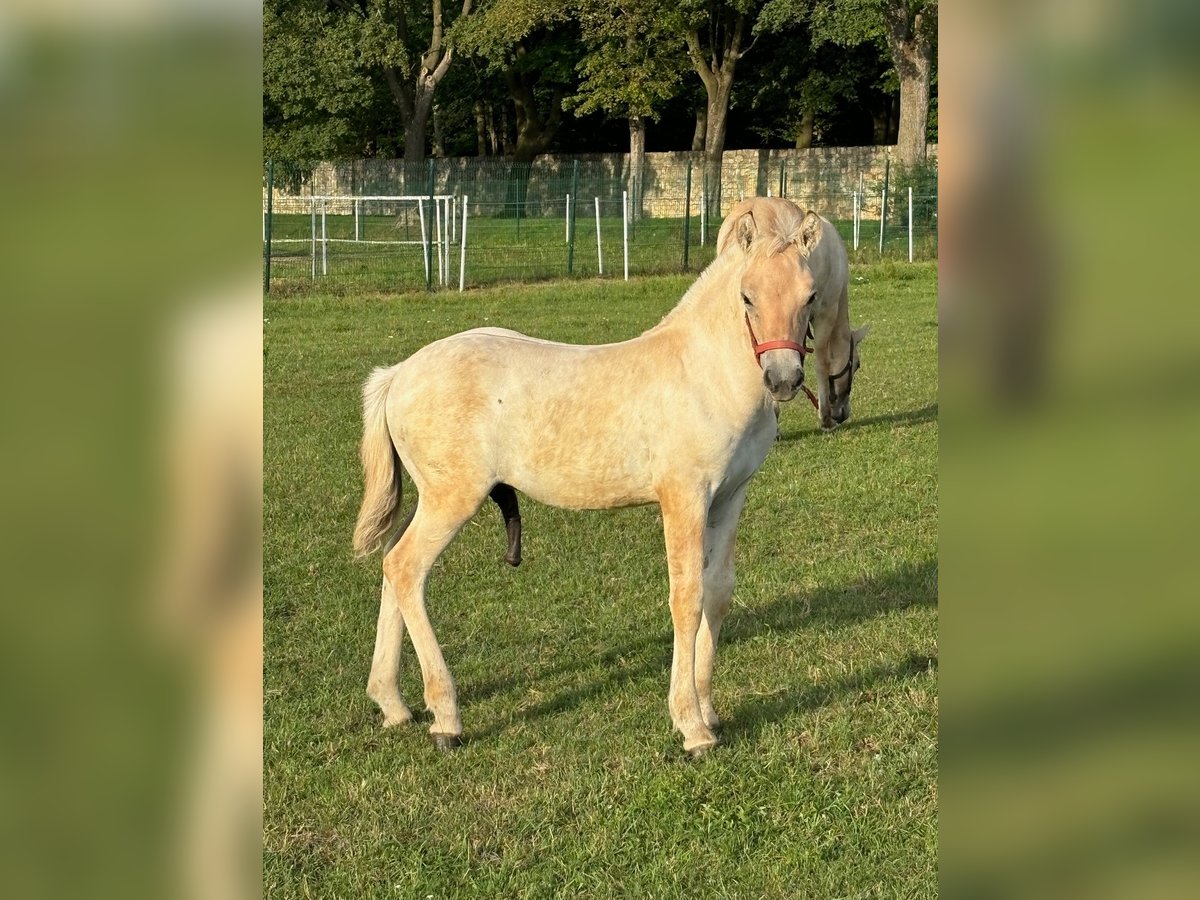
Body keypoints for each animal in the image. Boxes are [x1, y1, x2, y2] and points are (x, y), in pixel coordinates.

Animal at [355, 200, 835, 758]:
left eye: (810, 295)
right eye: (747, 296)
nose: (783, 380)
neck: (703, 373)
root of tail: (397, 375)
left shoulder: (729, 498)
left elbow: (717, 593)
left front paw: (711, 711)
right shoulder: (684, 498)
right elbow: (686, 598)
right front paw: (692, 727)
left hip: (430, 497)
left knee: (391, 566)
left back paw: (393, 704)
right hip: (452, 499)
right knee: (407, 569)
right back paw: (445, 718)